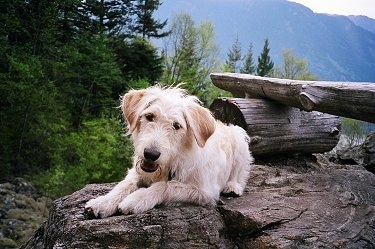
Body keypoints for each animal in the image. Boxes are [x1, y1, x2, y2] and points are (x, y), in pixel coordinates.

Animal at [85, 86, 254, 218]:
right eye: (149, 116)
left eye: (177, 126)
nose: (151, 154)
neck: (175, 158)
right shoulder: (138, 171)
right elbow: (125, 184)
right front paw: (103, 202)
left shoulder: (205, 191)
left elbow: (167, 186)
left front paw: (137, 199)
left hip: (239, 138)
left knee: (240, 172)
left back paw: (232, 187)